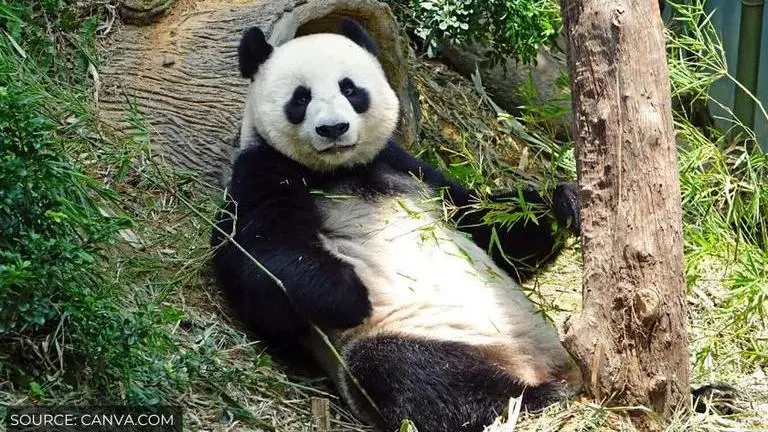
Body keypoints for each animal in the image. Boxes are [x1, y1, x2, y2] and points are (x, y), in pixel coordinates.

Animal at [211, 18, 584, 432]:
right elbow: (257, 259)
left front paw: (566, 202)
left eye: (350, 89)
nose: (333, 128)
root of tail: (537, 367)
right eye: (300, 98)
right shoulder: (262, 171)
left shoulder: (408, 168)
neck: (340, 170)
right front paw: (348, 296)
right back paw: (534, 399)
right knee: (412, 373)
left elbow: (487, 227)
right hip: (424, 333)